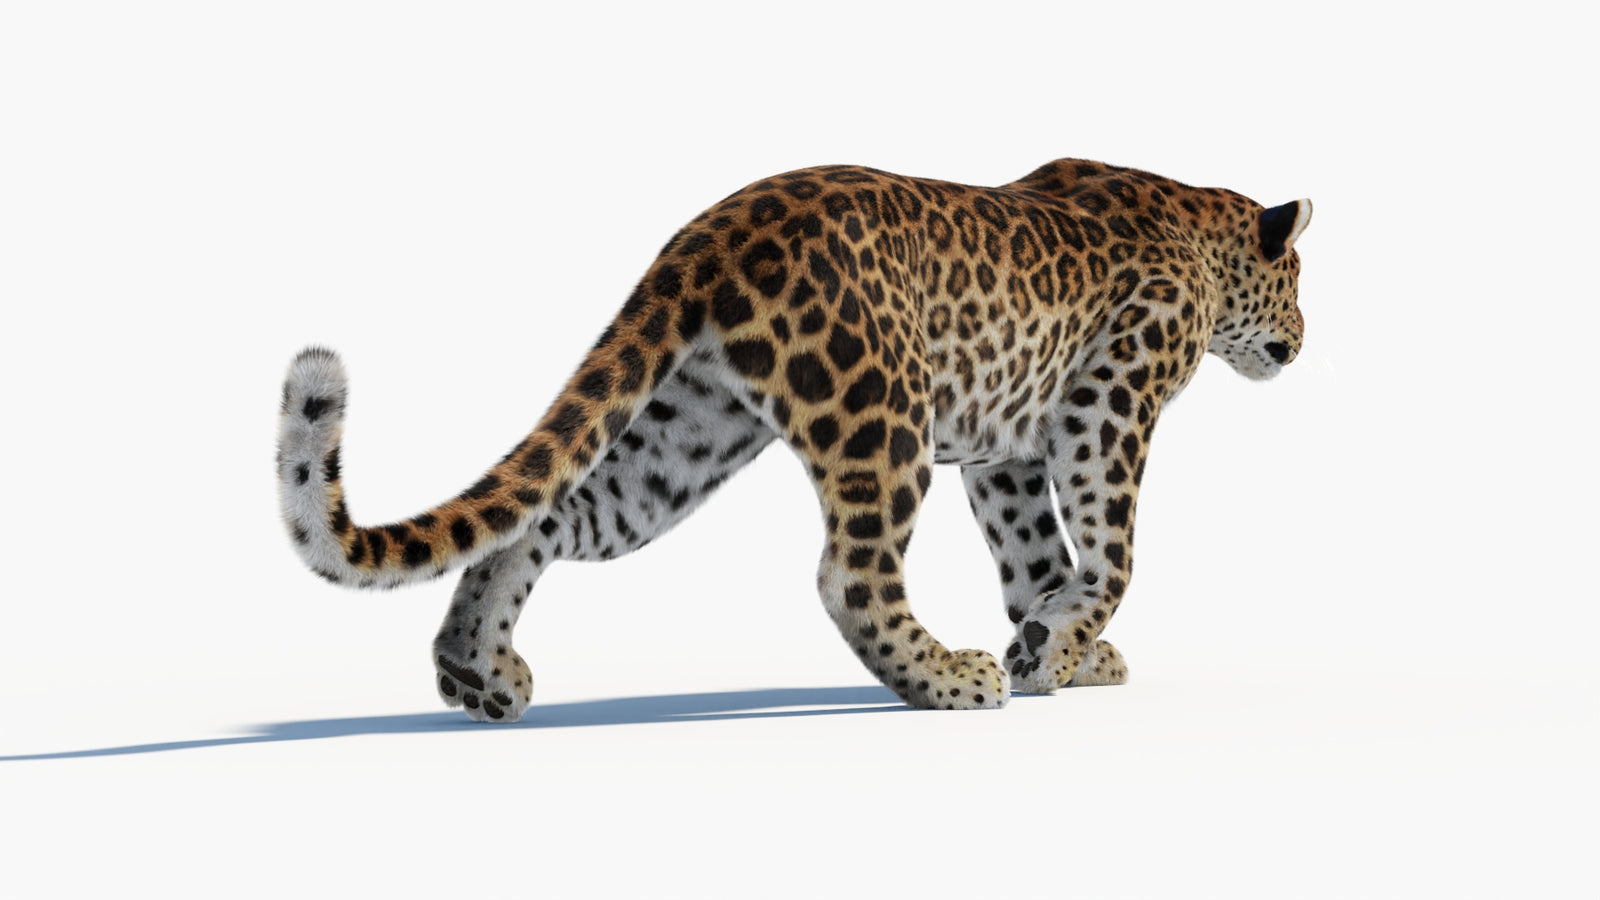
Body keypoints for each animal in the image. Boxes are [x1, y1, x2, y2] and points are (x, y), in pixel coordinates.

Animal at [277, 157, 1311, 722]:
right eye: (1299, 280)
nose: (1303, 342)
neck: (1203, 239)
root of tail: (709, 232)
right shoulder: (1108, 407)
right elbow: (1114, 553)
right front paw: (1050, 647)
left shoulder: (1005, 450)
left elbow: (1037, 555)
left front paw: (1054, 648)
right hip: (881, 412)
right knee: (849, 576)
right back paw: (948, 678)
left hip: (681, 441)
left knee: (540, 520)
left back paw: (477, 671)